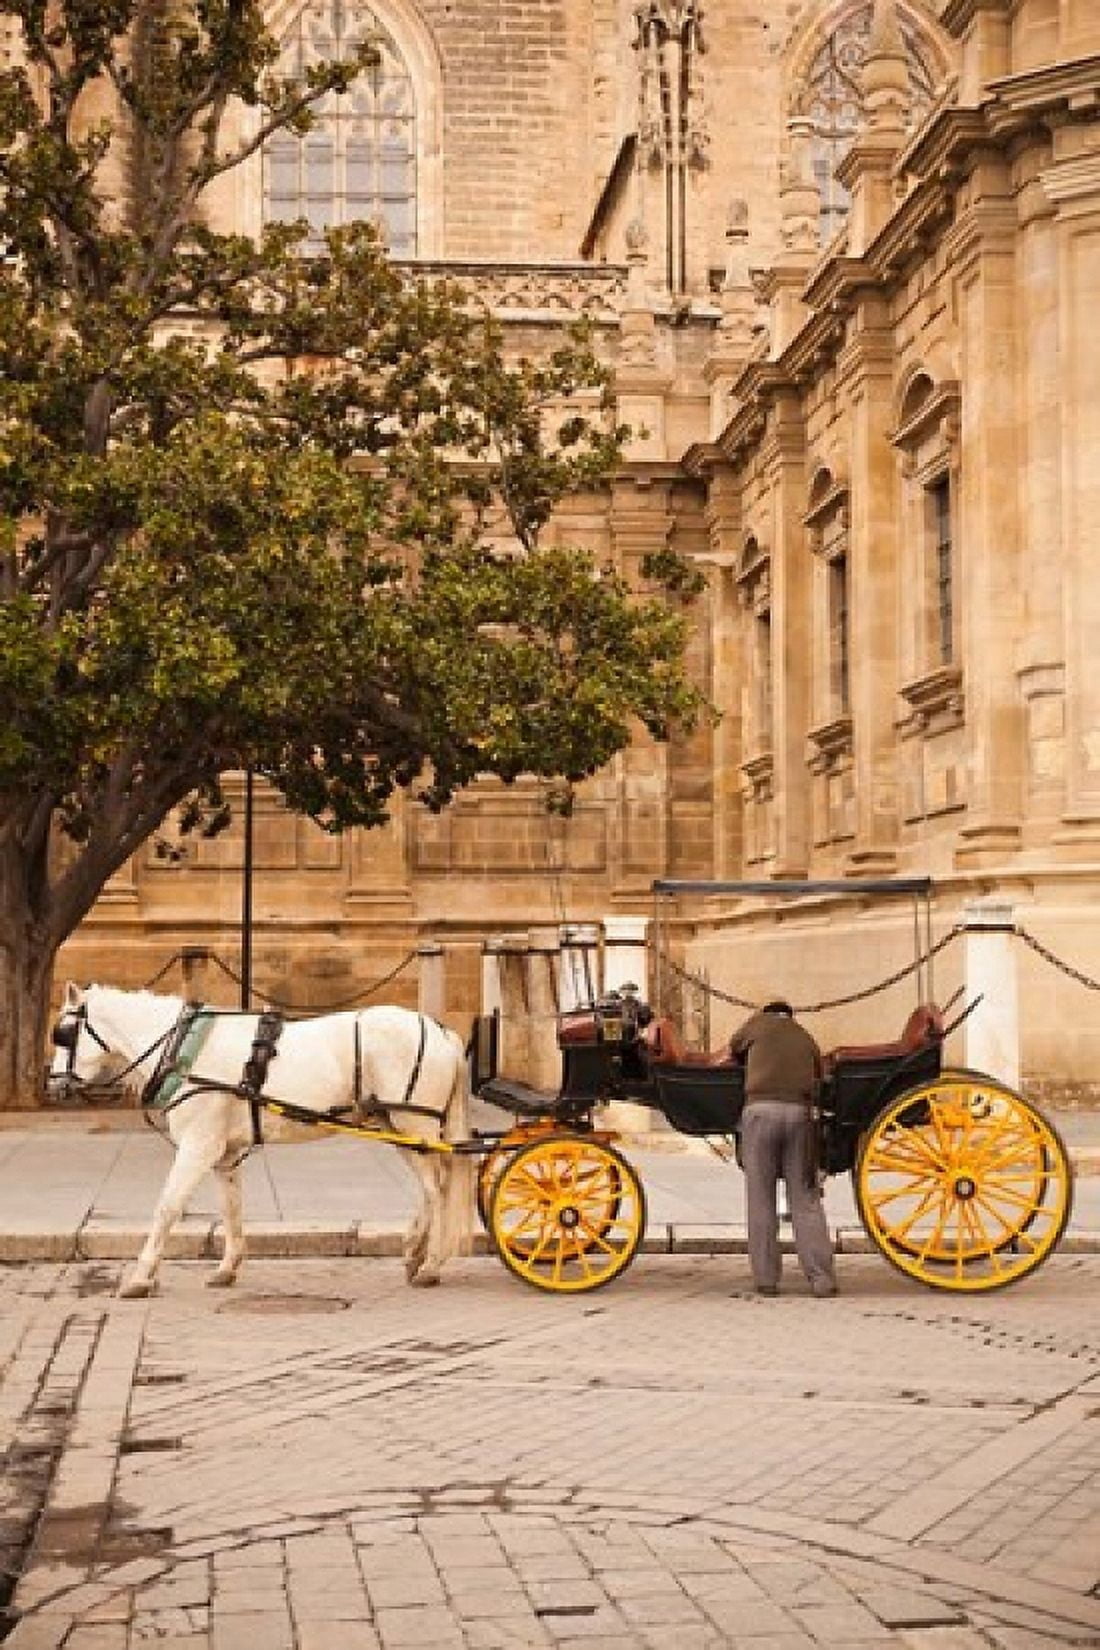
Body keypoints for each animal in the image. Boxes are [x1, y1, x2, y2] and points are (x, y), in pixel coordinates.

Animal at [47, 983, 475, 1299]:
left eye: (64, 1035)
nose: (53, 1085)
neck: (183, 1048)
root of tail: (442, 1033)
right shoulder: (224, 1153)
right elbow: (231, 1208)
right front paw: (227, 1267)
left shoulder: (198, 1146)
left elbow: (168, 1206)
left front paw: (141, 1276)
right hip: (400, 1128)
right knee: (429, 1188)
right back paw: (414, 1250)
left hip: (415, 1124)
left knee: (437, 1189)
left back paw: (431, 1264)